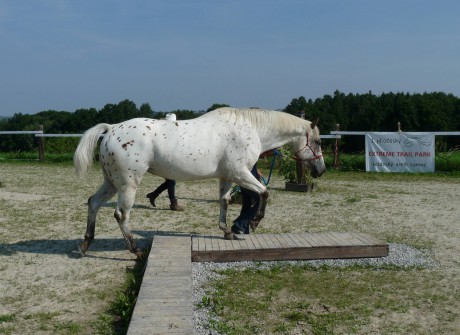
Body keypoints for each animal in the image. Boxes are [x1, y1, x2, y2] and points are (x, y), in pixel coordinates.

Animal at [73, 107, 328, 258]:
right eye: (317, 142)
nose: (321, 170)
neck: (251, 129)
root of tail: (111, 129)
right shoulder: (240, 173)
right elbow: (263, 193)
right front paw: (254, 222)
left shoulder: (227, 177)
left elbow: (224, 202)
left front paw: (228, 231)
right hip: (128, 184)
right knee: (121, 215)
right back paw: (135, 250)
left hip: (111, 182)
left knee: (93, 203)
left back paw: (85, 244)